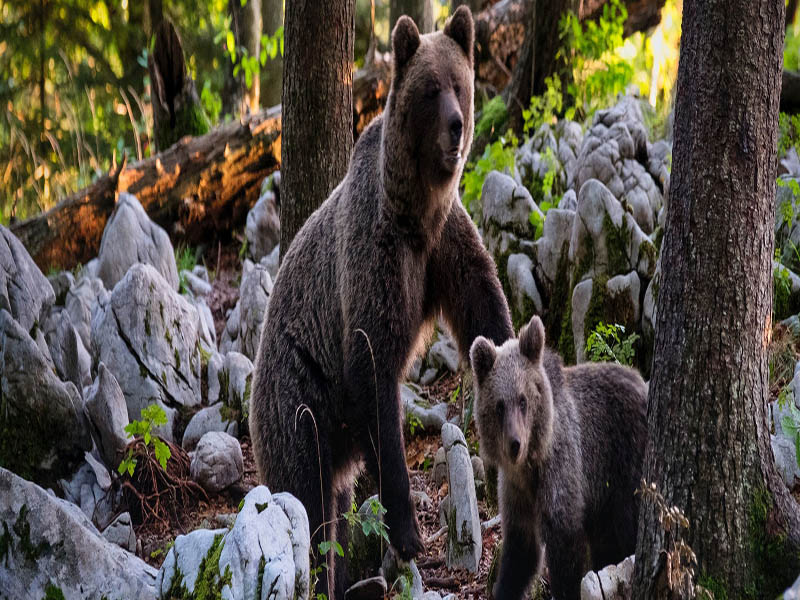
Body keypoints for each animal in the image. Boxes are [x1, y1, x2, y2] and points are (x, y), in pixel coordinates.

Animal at [248, 7, 512, 596]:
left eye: (460, 84)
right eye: (431, 90)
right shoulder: (377, 258)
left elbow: (483, 305)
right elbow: (374, 366)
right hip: (299, 395)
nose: (457, 126)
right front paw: (408, 531)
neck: (416, 210)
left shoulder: (445, 244)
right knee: (308, 495)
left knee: (338, 504)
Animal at [468, 316, 648, 596]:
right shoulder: (516, 491)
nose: (515, 444)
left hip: (625, 464)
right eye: (499, 405)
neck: (531, 464)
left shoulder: (563, 471)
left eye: (523, 400)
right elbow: (521, 551)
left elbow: (566, 550)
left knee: (626, 530)